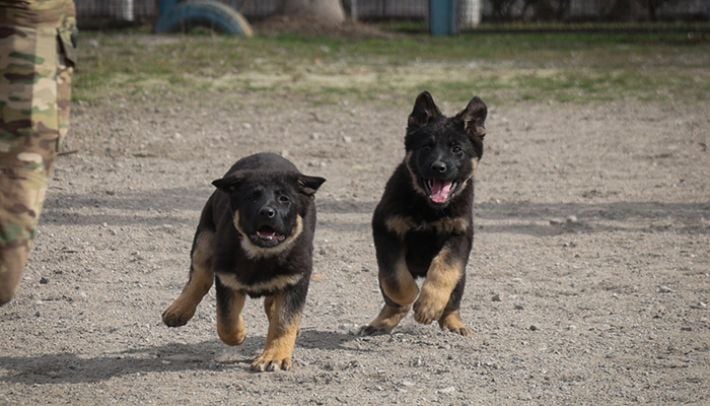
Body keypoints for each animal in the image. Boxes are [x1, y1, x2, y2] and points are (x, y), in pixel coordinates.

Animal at [162, 152, 326, 372]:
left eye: (284, 199)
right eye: (252, 197)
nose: (267, 212)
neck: (261, 254)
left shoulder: (296, 278)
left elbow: (284, 322)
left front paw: (274, 356)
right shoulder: (226, 278)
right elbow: (226, 321)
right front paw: (240, 332)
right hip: (205, 237)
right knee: (200, 276)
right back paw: (178, 310)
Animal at [362, 91, 490, 336]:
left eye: (457, 149)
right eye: (427, 147)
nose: (438, 167)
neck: (429, 208)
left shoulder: (460, 236)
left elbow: (444, 268)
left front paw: (428, 305)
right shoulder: (386, 229)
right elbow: (395, 277)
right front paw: (411, 296)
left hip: (462, 275)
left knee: (453, 300)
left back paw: (454, 323)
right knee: (390, 295)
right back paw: (381, 322)